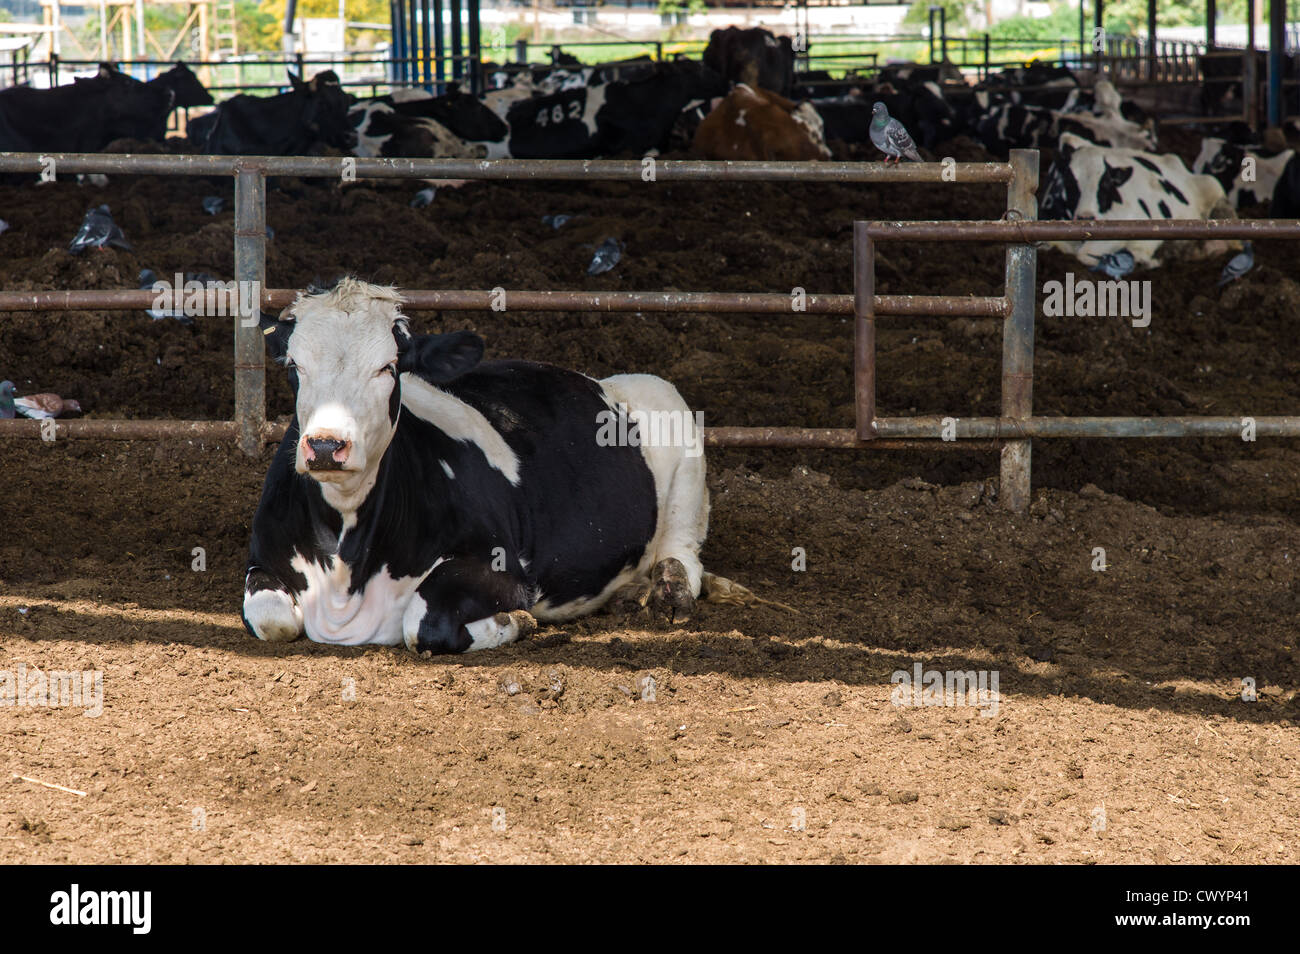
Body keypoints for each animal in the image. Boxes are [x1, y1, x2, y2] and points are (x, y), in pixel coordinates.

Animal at [242, 278, 712, 653]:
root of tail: (606, 380)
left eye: (388, 367)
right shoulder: (261, 561)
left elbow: (422, 624)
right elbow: (270, 618)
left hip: (685, 457)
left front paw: (514, 622)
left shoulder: (505, 569)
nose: (326, 445)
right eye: (294, 366)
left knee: (683, 553)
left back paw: (666, 588)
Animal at [1040, 132, 1235, 267]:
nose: (1085, 218)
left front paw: (1145, 258)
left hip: (1215, 189)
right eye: (1069, 182)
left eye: (1106, 183)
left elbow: (1085, 253)